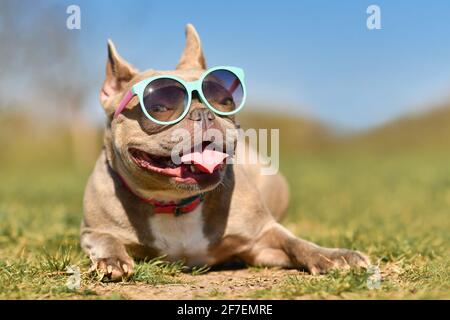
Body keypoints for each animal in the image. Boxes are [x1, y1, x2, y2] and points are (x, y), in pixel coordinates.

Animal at [81, 23, 370, 278]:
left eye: (224, 100)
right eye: (160, 107)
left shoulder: (262, 237)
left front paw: (333, 255)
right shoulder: (90, 231)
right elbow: (105, 239)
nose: (204, 113)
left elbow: (296, 243)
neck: (175, 204)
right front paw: (112, 259)